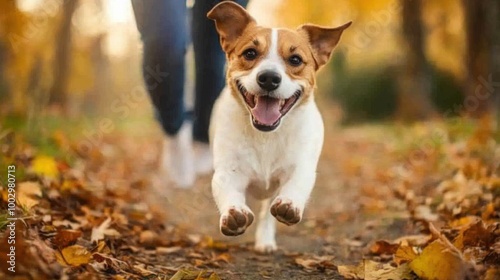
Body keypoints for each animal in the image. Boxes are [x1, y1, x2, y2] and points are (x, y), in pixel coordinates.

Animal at [207, 1, 352, 253]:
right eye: (250, 53)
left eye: (295, 59)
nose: (268, 78)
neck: (267, 136)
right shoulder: (228, 170)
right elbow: (227, 188)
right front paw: (234, 213)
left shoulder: (301, 166)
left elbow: (296, 183)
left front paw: (289, 204)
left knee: (266, 213)